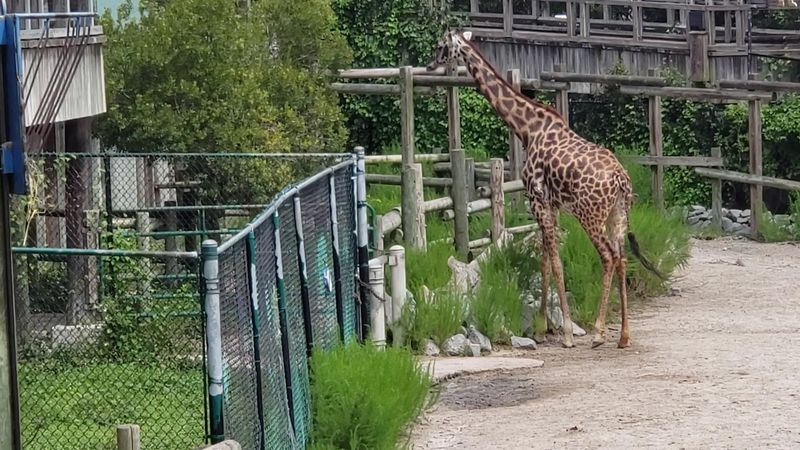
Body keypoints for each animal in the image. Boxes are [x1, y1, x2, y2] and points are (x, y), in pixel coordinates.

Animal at [427, 30, 664, 349]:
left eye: (441, 46)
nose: (430, 65)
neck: (527, 129)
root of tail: (620, 179)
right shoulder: (551, 204)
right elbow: (545, 260)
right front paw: (541, 329)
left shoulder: (536, 199)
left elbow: (554, 260)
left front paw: (566, 333)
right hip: (618, 213)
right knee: (623, 256)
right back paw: (624, 336)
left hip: (590, 215)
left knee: (608, 256)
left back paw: (599, 332)